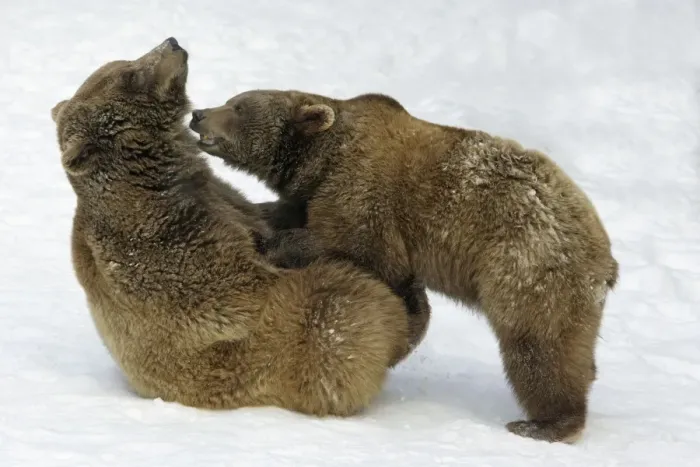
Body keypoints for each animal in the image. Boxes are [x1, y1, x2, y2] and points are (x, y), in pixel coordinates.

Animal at [51, 38, 425, 417]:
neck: (156, 179)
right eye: (129, 74)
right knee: (340, 312)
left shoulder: (221, 200)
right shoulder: (176, 252)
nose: (172, 44)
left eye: (123, 62)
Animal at [189, 89, 619, 443]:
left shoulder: (363, 193)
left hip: (529, 262)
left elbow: (350, 243)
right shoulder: (315, 198)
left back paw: (544, 424)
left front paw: (269, 242)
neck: (322, 158)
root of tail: (604, 254)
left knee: (536, 345)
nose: (198, 113)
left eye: (238, 106)